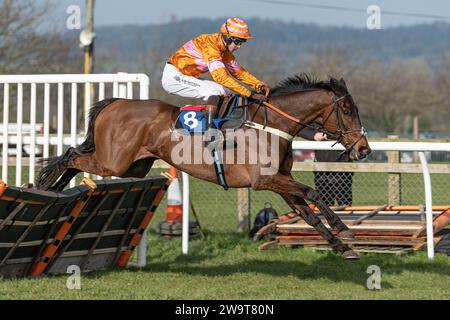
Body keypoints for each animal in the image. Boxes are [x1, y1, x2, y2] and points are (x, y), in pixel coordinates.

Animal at [37, 74, 370, 260]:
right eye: (346, 110)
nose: (364, 149)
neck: (272, 125)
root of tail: (117, 102)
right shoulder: (264, 181)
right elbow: (313, 194)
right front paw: (344, 229)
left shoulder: (280, 180)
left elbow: (307, 212)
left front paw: (342, 245)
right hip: (112, 161)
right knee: (71, 156)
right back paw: (46, 185)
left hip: (134, 167)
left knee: (75, 159)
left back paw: (52, 189)